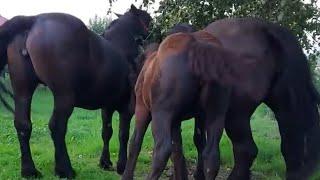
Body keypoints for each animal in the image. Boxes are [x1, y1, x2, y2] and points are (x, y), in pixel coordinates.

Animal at [0, 4, 151, 179]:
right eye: (147, 18)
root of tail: (34, 20)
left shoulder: (106, 107)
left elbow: (107, 132)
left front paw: (105, 162)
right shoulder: (127, 107)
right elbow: (123, 134)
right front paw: (122, 165)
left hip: (23, 90)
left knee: (23, 125)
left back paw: (30, 171)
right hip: (64, 96)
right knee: (57, 127)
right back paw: (65, 169)